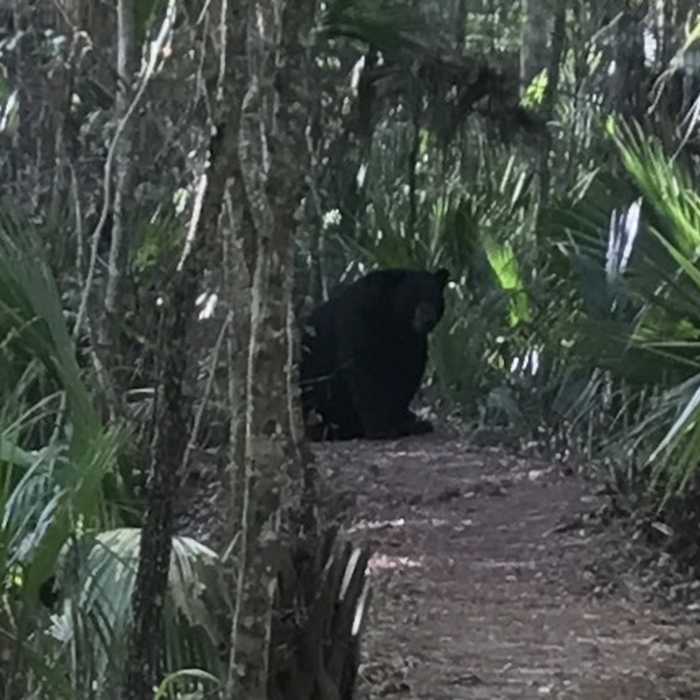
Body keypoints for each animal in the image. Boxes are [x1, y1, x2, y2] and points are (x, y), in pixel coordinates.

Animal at [300, 267, 450, 440]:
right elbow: (364, 371)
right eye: (414, 295)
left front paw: (406, 422)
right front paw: (381, 429)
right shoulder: (361, 318)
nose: (427, 317)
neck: (395, 320)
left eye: (434, 297)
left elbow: (406, 372)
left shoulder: (412, 341)